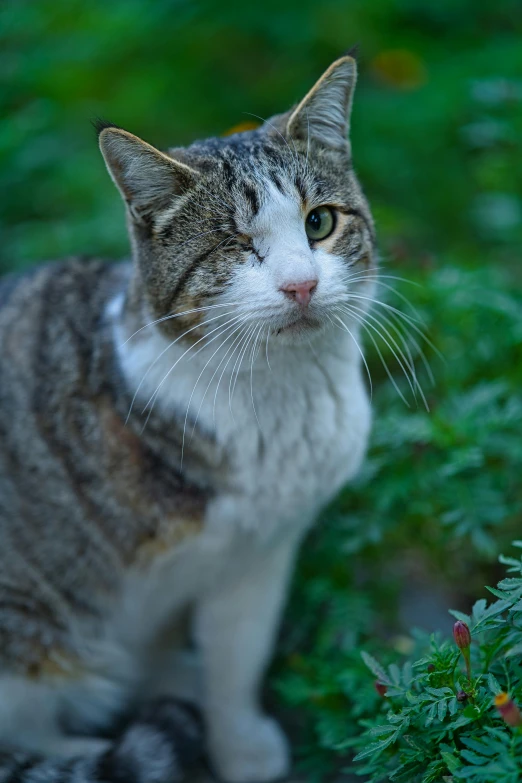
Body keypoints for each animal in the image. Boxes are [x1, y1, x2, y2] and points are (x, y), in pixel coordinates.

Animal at [0, 55, 374, 783]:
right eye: (234, 244)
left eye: (319, 223)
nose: (301, 284)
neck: (281, 395)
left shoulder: (260, 553)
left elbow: (238, 659)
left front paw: (238, 741)